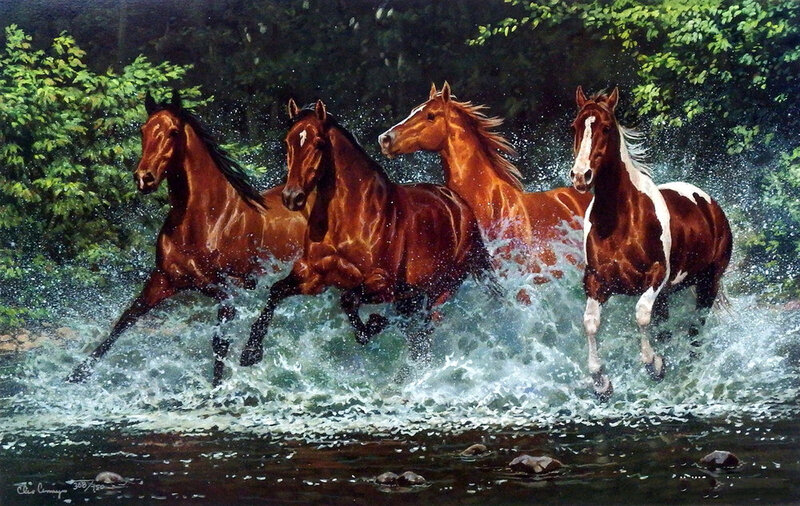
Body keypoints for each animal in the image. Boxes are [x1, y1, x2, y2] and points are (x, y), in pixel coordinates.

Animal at [66, 90, 310, 386]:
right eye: (143, 130)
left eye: (173, 132)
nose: (144, 178)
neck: (209, 220)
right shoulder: (163, 280)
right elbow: (125, 320)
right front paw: (77, 374)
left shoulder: (226, 291)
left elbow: (219, 344)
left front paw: (216, 389)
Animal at [239, 99, 498, 367]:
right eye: (287, 142)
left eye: (318, 143)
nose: (292, 197)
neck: (348, 218)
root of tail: (459, 204)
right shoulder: (312, 275)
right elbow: (275, 291)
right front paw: (250, 352)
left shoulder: (382, 283)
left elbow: (349, 301)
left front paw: (374, 323)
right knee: (417, 337)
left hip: (440, 289)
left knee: (422, 330)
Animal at [569, 86, 732, 399]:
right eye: (575, 126)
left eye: (606, 128)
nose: (581, 176)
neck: (619, 221)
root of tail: (710, 204)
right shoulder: (597, 282)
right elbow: (591, 323)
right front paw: (601, 383)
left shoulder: (656, 278)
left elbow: (641, 316)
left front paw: (654, 365)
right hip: (671, 294)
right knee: (668, 328)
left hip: (708, 283)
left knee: (696, 330)